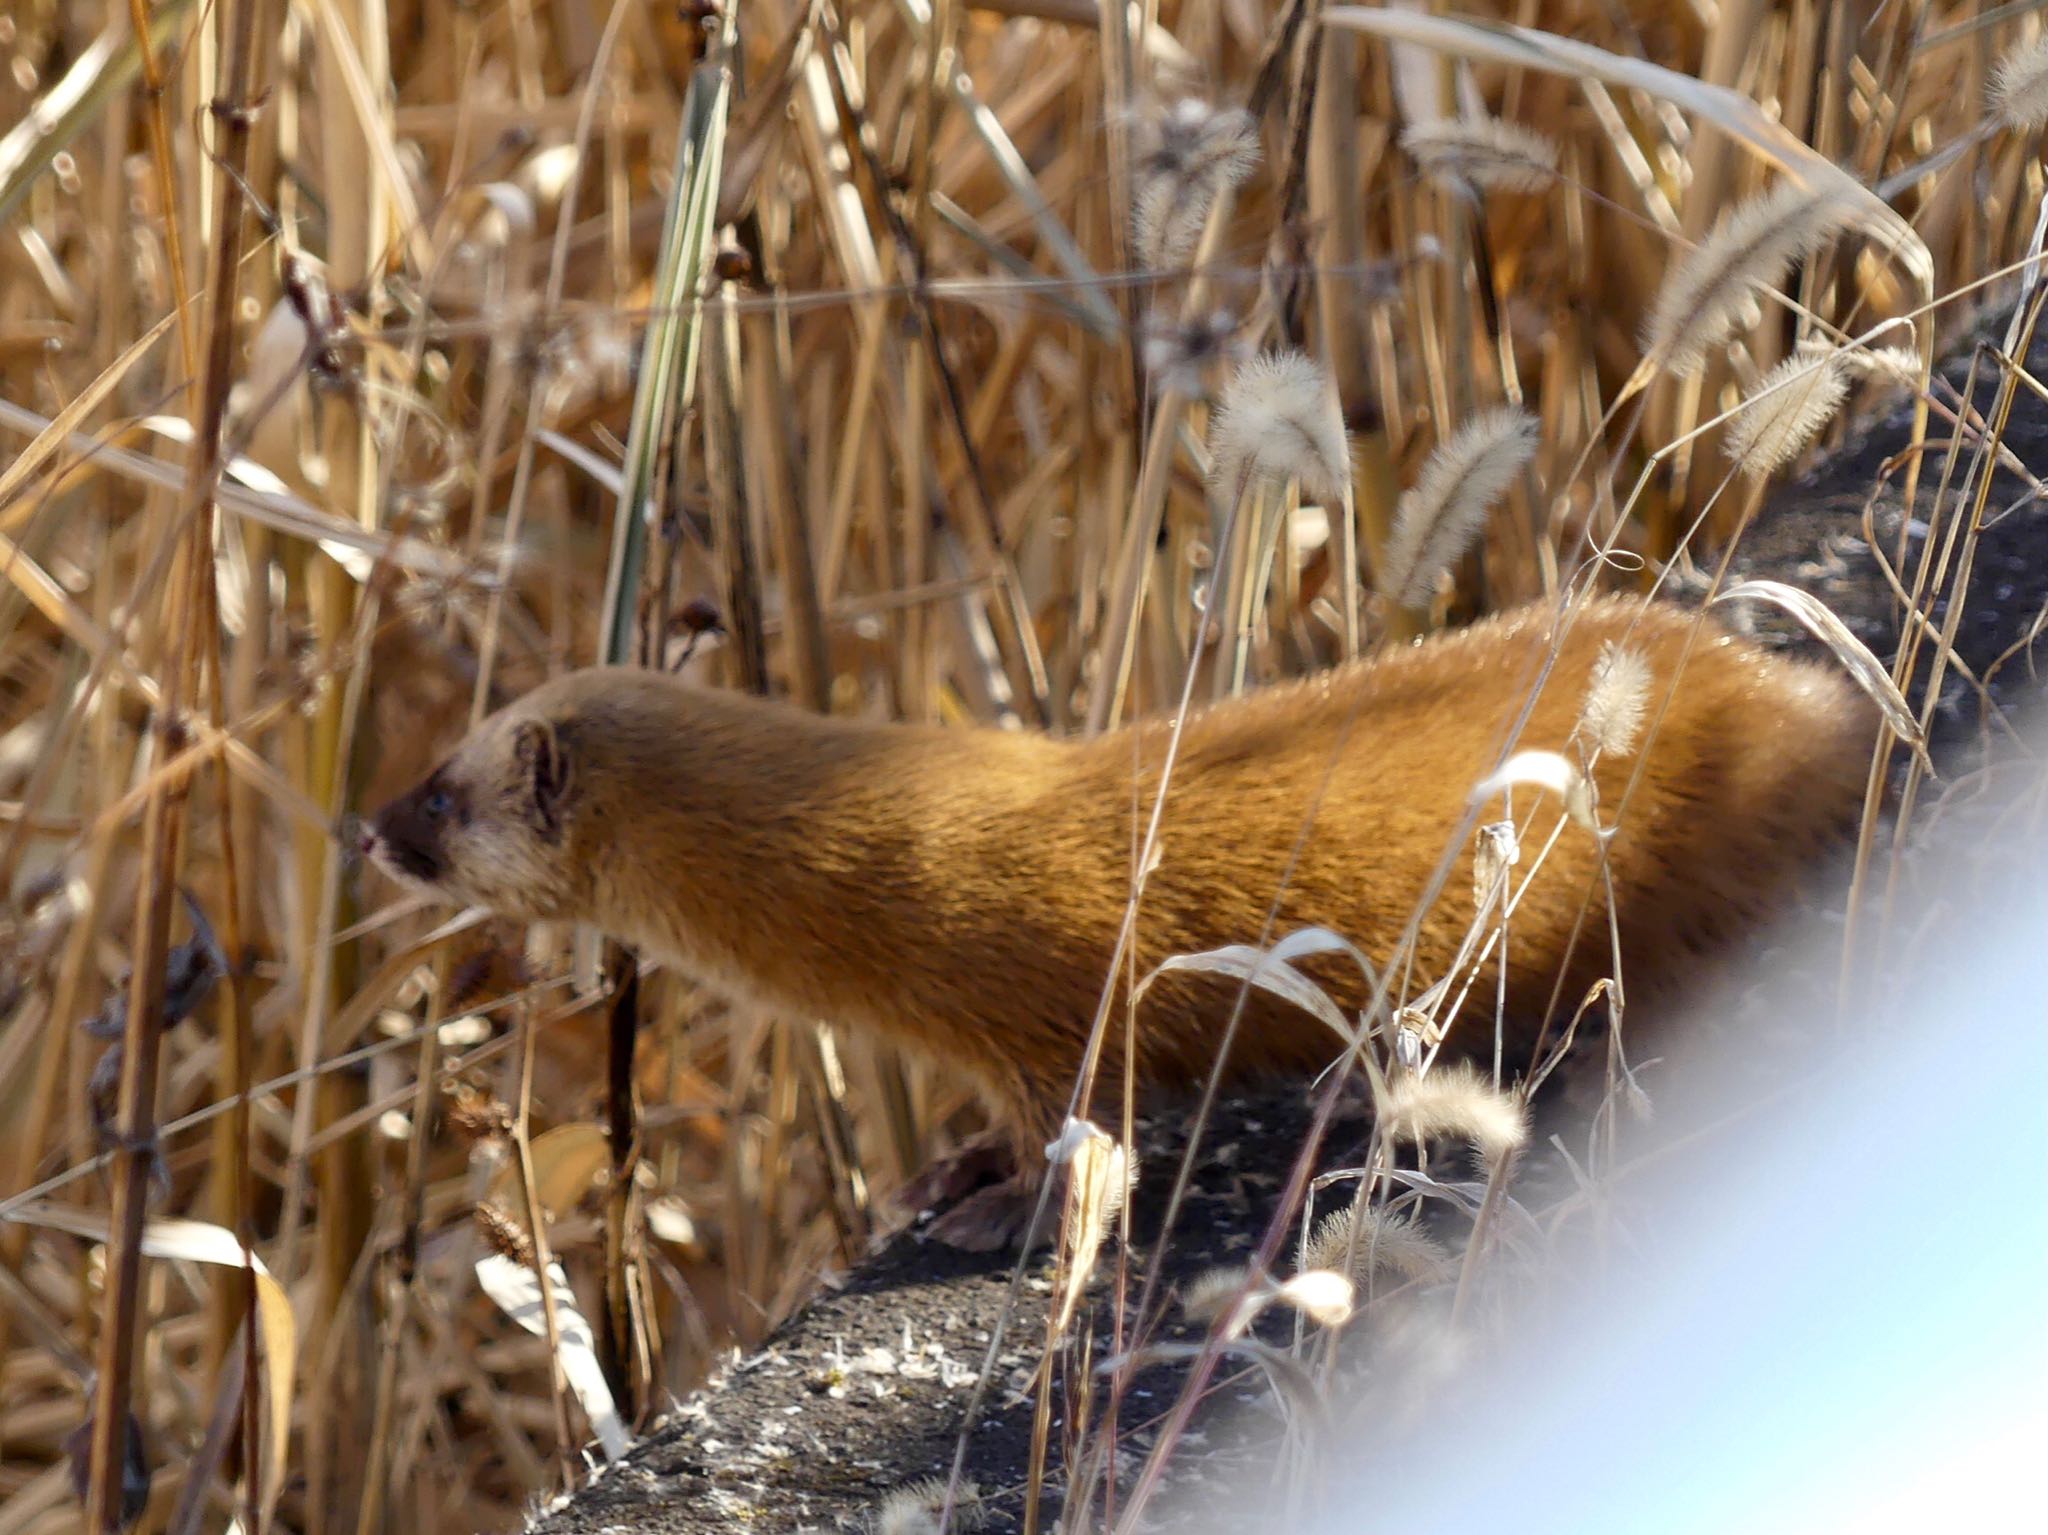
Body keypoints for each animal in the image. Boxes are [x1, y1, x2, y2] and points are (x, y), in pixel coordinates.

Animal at [364, 601, 1875, 1252]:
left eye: (443, 787)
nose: (365, 823)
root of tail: (1809, 703)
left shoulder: (1060, 1001)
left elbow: (1089, 1119)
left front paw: (1004, 1212)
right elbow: (1007, 1118)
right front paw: (947, 1174)